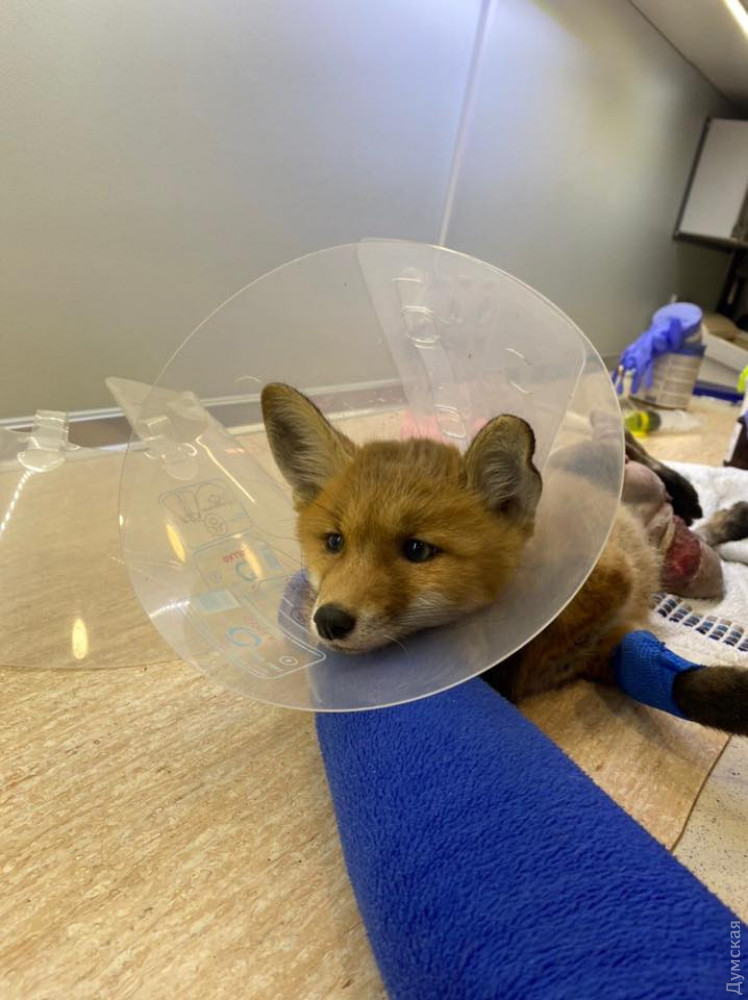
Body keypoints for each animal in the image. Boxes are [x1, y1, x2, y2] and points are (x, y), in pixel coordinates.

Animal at [261, 382, 748, 736]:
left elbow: (529, 664)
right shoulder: (606, 641)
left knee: (640, 451)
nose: (329, 621)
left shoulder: (611, 577)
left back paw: (689, 489)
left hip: (623, 476)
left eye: (417, 550)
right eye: (334, 542)